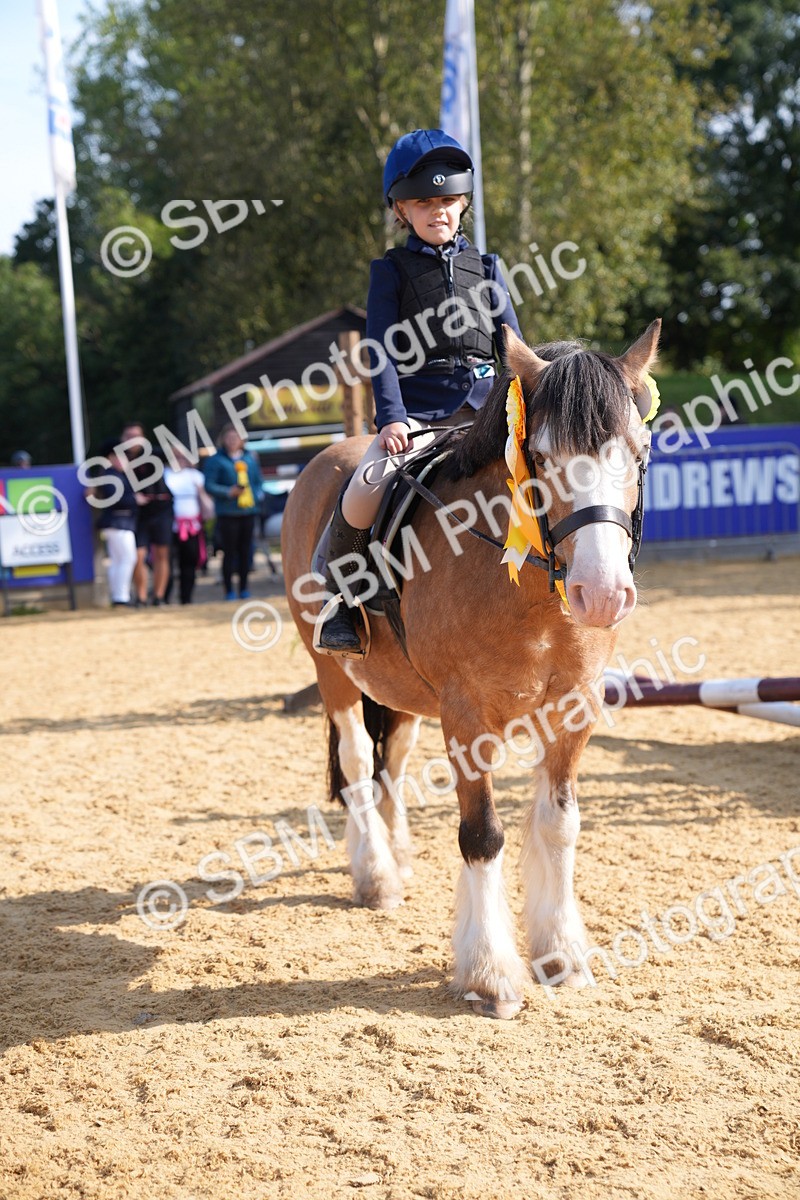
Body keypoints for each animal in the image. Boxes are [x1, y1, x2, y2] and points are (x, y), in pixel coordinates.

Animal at [281, 320, 660, 1019]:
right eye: (541, 454)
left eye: (638, 448)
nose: (602, 594)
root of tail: (325, 458)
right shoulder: (465, 717)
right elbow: (482, 835)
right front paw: (490, 975)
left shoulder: (575, 710)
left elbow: (559, 825)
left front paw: (561, 954)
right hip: (332, 672)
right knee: (356, 760)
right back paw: (375, 875)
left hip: (400, 692)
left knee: (393, 758)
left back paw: (399, 854)